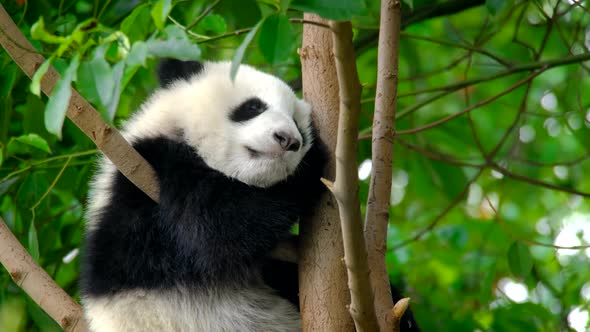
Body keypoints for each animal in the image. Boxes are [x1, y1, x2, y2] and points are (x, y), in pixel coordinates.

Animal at [79, 60, 330, 332]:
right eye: (253, 107)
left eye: (298, 124)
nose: (289, 140)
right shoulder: (150, 171)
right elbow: (219, 228)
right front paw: (315, 159)